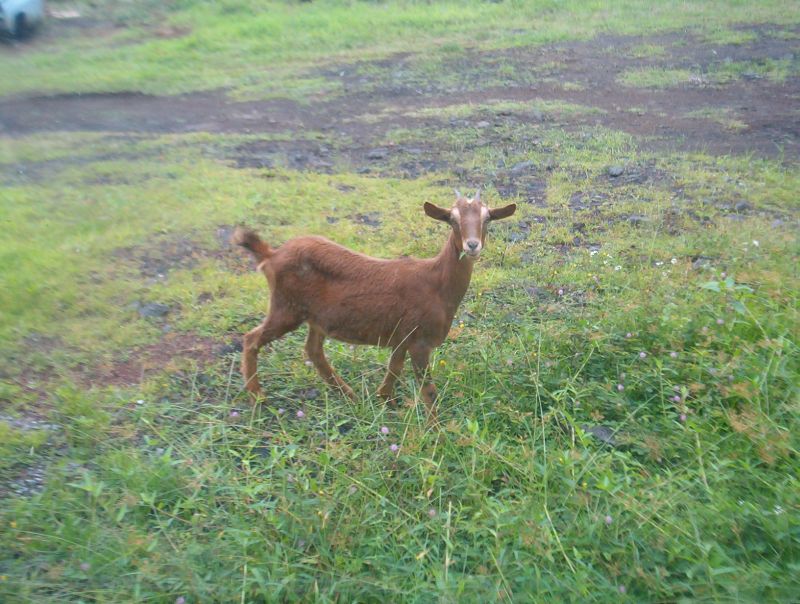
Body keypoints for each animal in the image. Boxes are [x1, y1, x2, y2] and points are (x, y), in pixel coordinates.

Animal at [233, 190, 516, 420]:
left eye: (487, 218)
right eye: (452, 219)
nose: (472, 245)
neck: (437, 284)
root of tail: (271, 255)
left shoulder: (402, 336)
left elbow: (394, 368)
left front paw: (386, 400)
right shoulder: (419, 340)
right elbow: (428, 389)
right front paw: (437, 429)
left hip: (316, 318)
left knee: (313, 350)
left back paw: (348, 395)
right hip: (286, 307)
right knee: (251, 338)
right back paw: (258, 396)